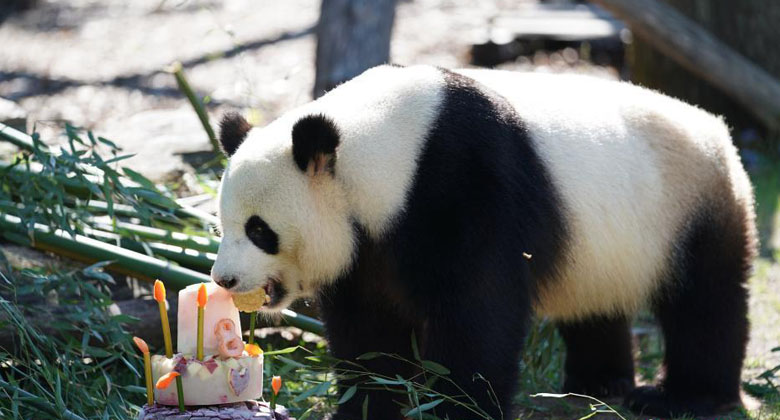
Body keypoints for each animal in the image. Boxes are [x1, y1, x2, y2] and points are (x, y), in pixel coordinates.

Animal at [210, 64, 760, 418]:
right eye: (222, 226)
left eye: (259, 230)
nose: (224, 279)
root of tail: (715, 128)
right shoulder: (366, 249)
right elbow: (368, 330)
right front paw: (370, 402)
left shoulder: (462, 185)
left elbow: (477, 310)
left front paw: (457, 403)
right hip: (609, 243)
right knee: (596, 306)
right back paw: (599, 383)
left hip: (687, 208)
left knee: (705, 302)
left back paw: (686, 398)